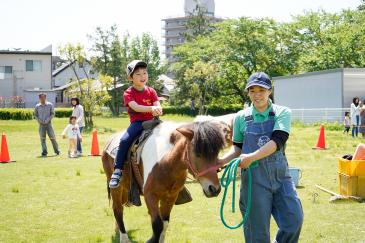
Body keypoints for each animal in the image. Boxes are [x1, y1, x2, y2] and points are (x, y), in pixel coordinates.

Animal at [101, 120, 230, 243]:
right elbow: (157, 225)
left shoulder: (170, 196)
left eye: (216, 153)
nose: (214, 189)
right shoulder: (150, 196)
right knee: (118, 210)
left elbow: (165, 223)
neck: (166, 161)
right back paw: (124, 238)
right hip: (116, 188)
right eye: (198, 154)